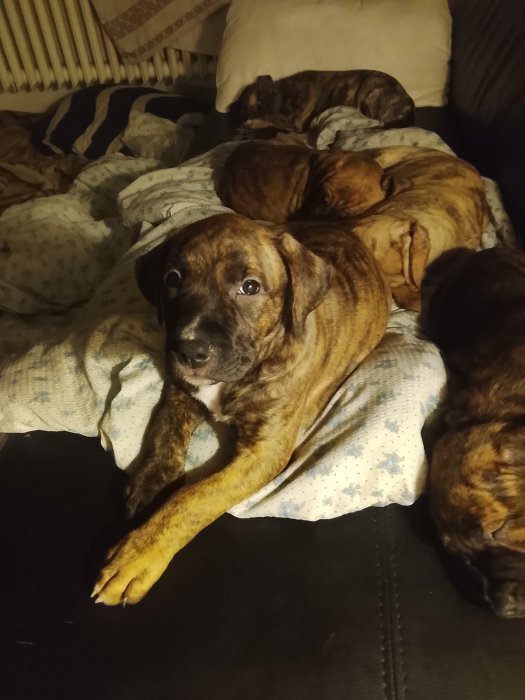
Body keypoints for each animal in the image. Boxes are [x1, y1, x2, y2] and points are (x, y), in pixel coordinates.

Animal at [92, 213, 391, 605]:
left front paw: (136, 555)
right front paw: (149, 487)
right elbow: (164, 434)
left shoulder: (262, 453)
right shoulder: (181, 390)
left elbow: (194, 498)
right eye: (172, 279)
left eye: (250, 287)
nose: (189, 351)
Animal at [234, 70, 415, 135]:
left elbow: (270, 118)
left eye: (244, 110)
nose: (241, 124)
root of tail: (409, 104)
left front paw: (253, 123)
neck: (282, 93)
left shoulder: (292, 119)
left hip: (370, 88)